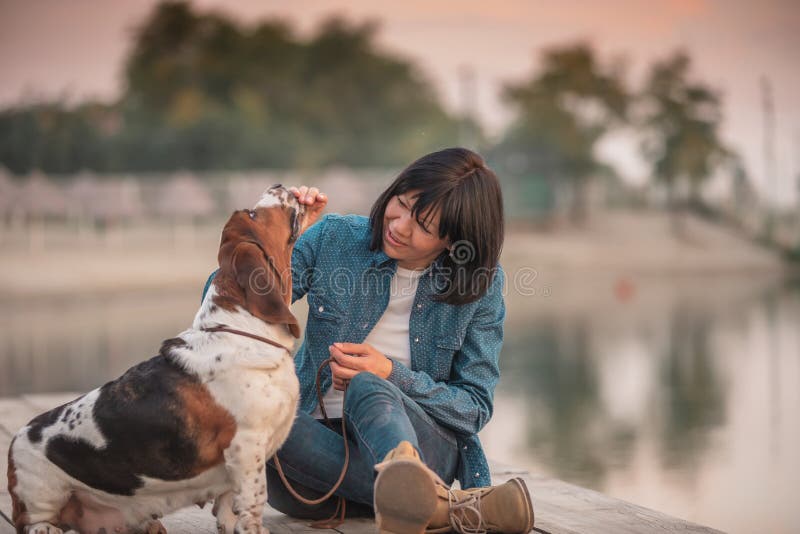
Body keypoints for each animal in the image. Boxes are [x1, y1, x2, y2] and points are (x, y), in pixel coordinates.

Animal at [7, 185, 308, 534]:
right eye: (253, 214)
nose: (278, 186)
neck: (243, 330)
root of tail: (16, 439)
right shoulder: (247, 447)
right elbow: (253, 501)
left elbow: (227, 507)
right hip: (42, 490)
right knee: (33, 521)